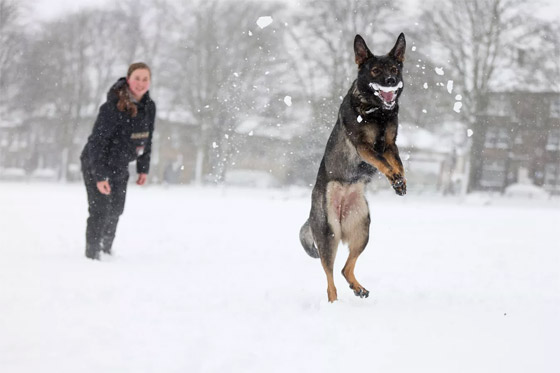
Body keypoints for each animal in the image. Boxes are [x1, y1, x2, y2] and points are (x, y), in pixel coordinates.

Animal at [302, 32, 406, 302]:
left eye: (394, 69)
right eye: (376, 70)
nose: (391, 81)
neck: (378, 111)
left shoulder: (390, 144)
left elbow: (397, 163)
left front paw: (400, 182)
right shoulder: (364, 147)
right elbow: (382, 163)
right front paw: (394, 177)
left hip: (362, 230)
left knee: (345, 268)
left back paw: (358, 288)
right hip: (328, 234)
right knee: (329, 277)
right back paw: (334, 303)